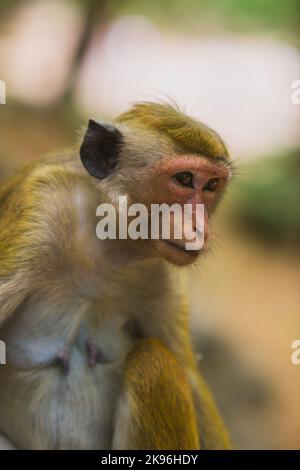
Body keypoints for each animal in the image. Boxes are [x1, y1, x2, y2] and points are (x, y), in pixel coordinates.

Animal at [0, 102, 232, 448]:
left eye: (212, 186)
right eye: (185, 178)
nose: (199, 227)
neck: (105, 240)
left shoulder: (158, 274)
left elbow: (192, 382)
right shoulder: (41, 208)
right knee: (153, 360)